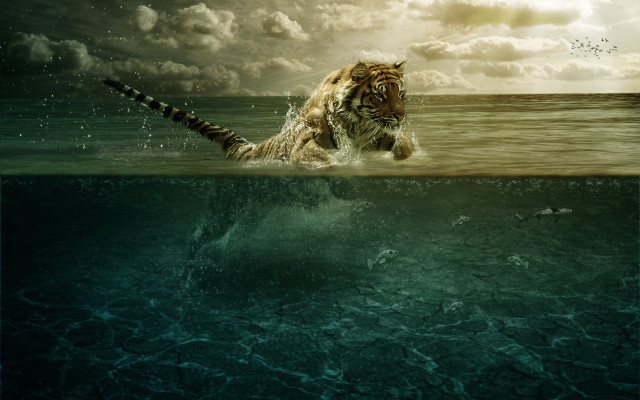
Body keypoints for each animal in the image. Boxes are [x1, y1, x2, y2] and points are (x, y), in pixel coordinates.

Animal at [103, 61, 413, 168]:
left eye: (401, 94)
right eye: (380, 95)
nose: (401, 117)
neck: (358, 125)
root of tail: (242, 147)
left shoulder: (376, 136)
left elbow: (404, 145)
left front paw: (402, 155)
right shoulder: (307, 141)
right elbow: (320, 158)